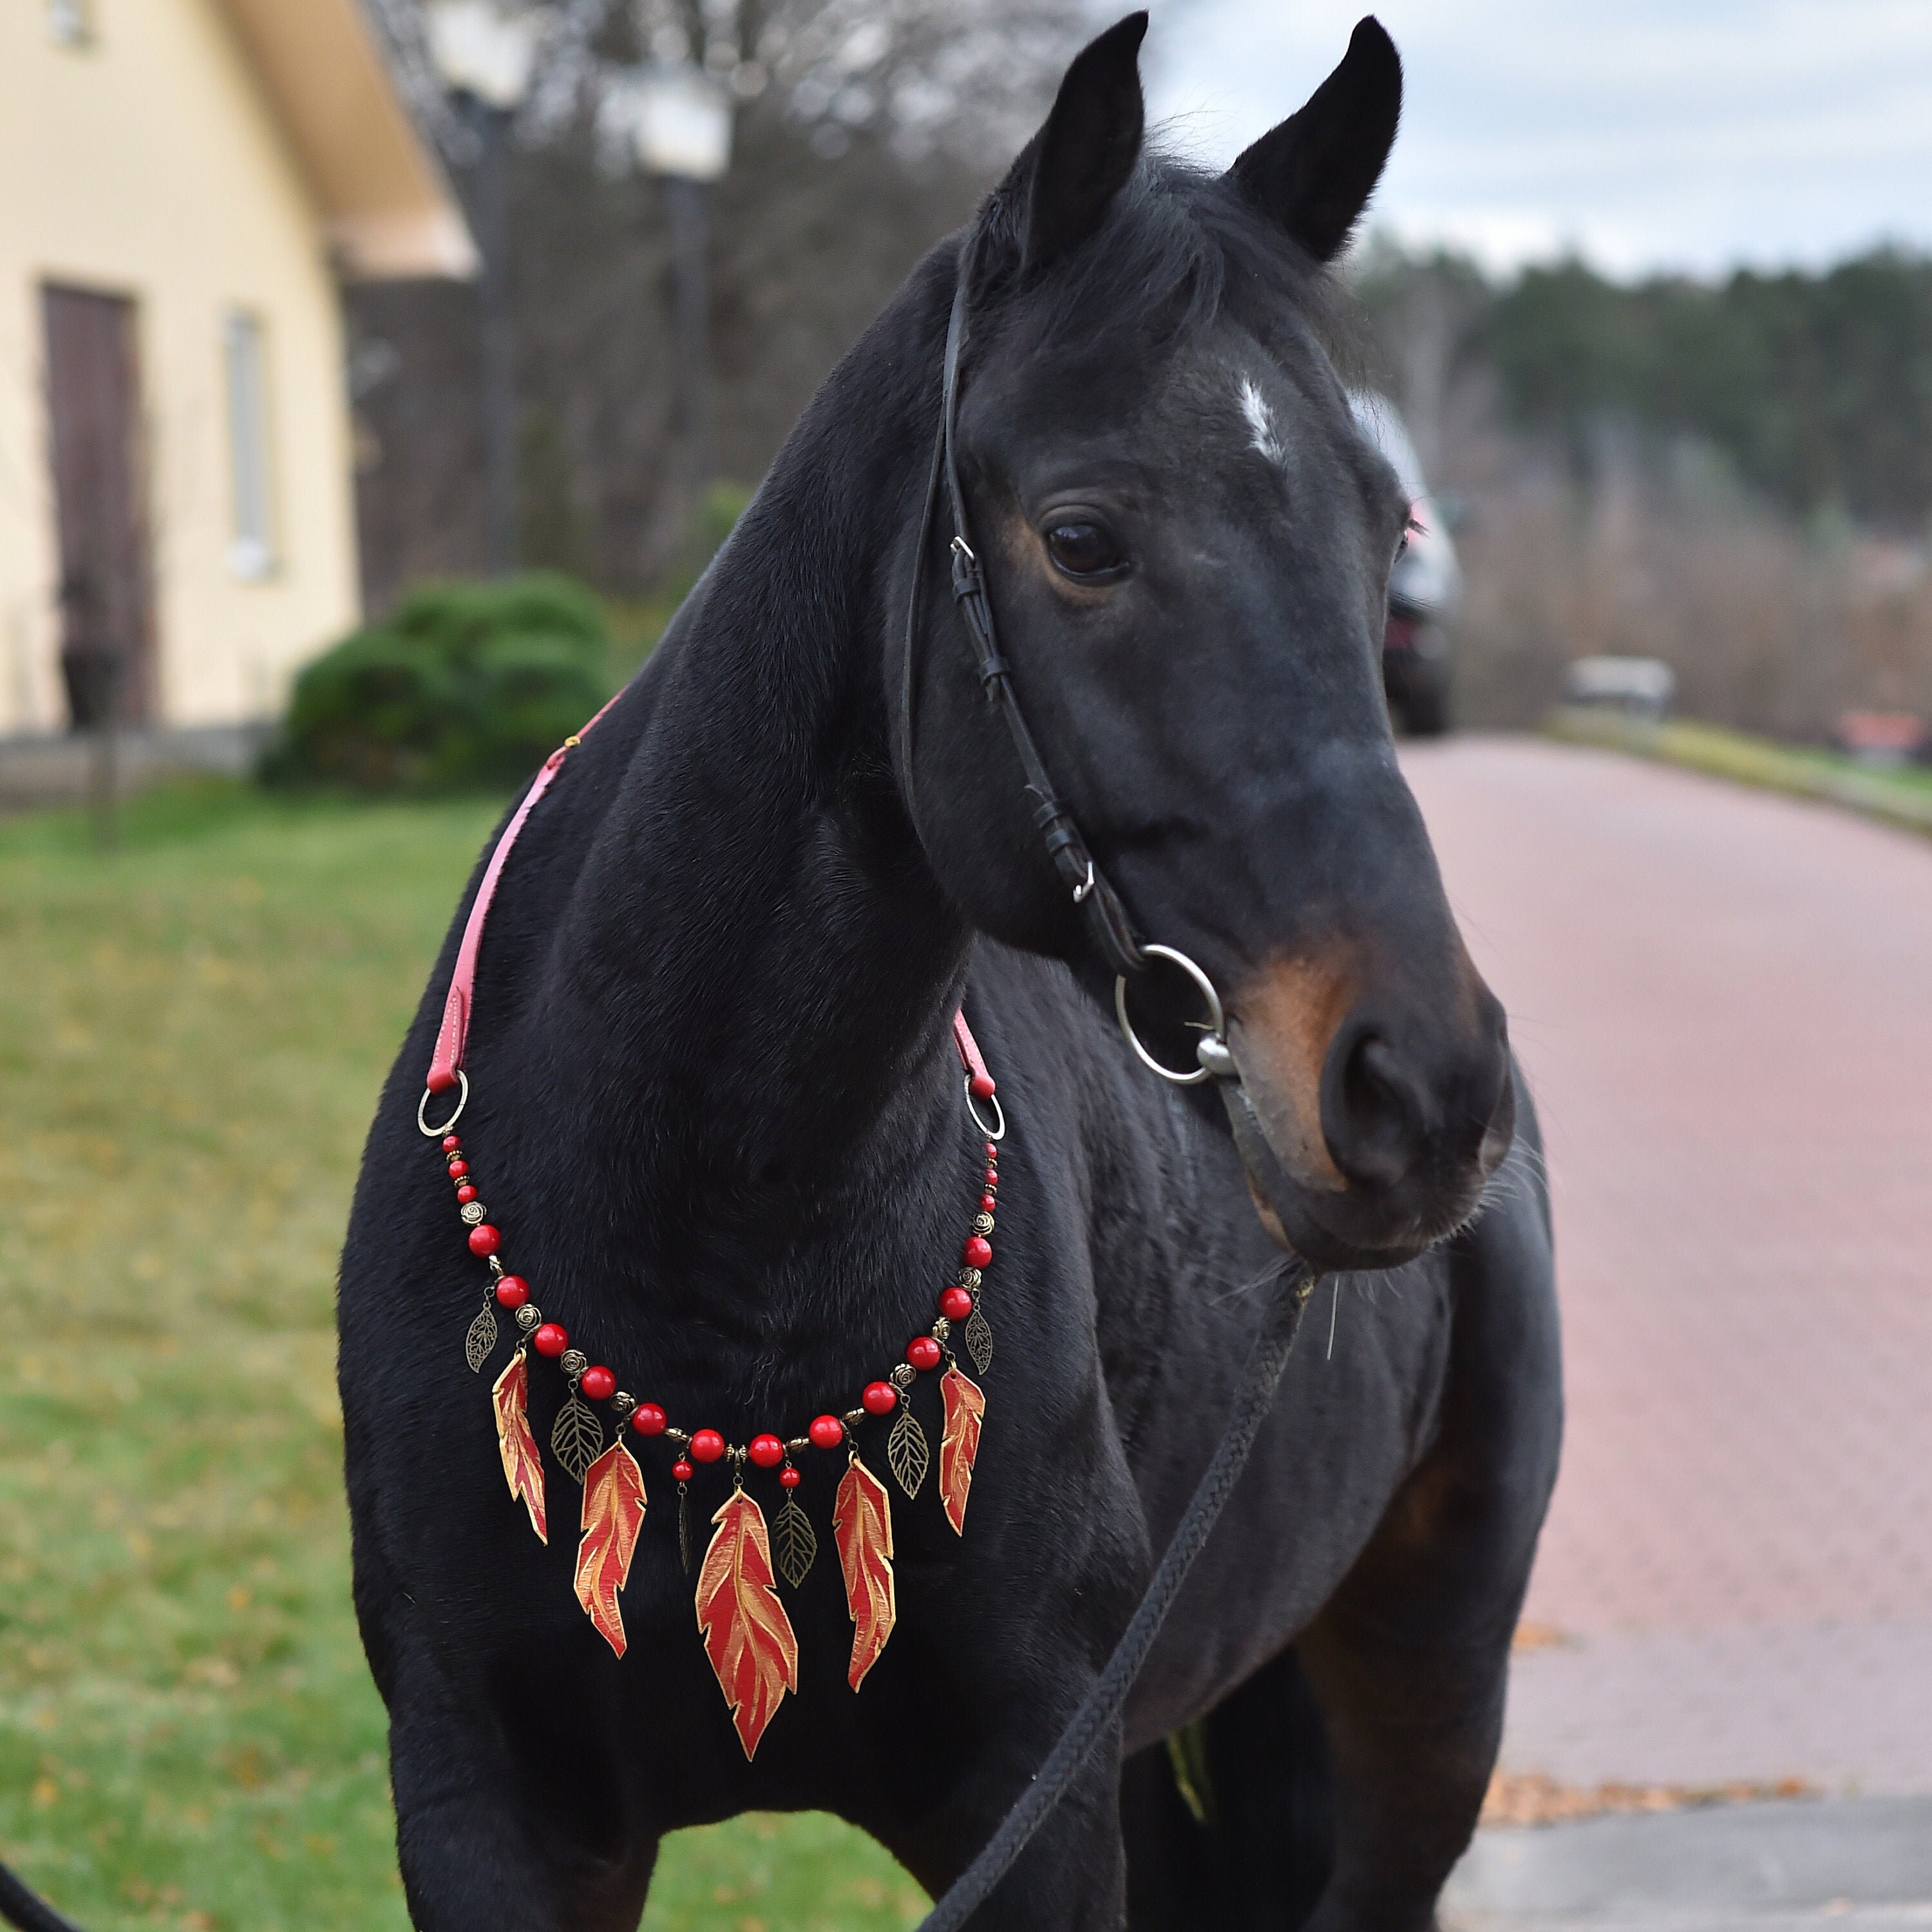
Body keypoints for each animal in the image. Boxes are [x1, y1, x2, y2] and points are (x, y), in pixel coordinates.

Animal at [338, 14, 1562, 1928]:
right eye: (1083, 538)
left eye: (1385, 529)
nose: (1418, 1087)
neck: (701, 1240)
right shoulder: (491, 1807)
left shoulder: (1033, 1802)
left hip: (1421, 1709)